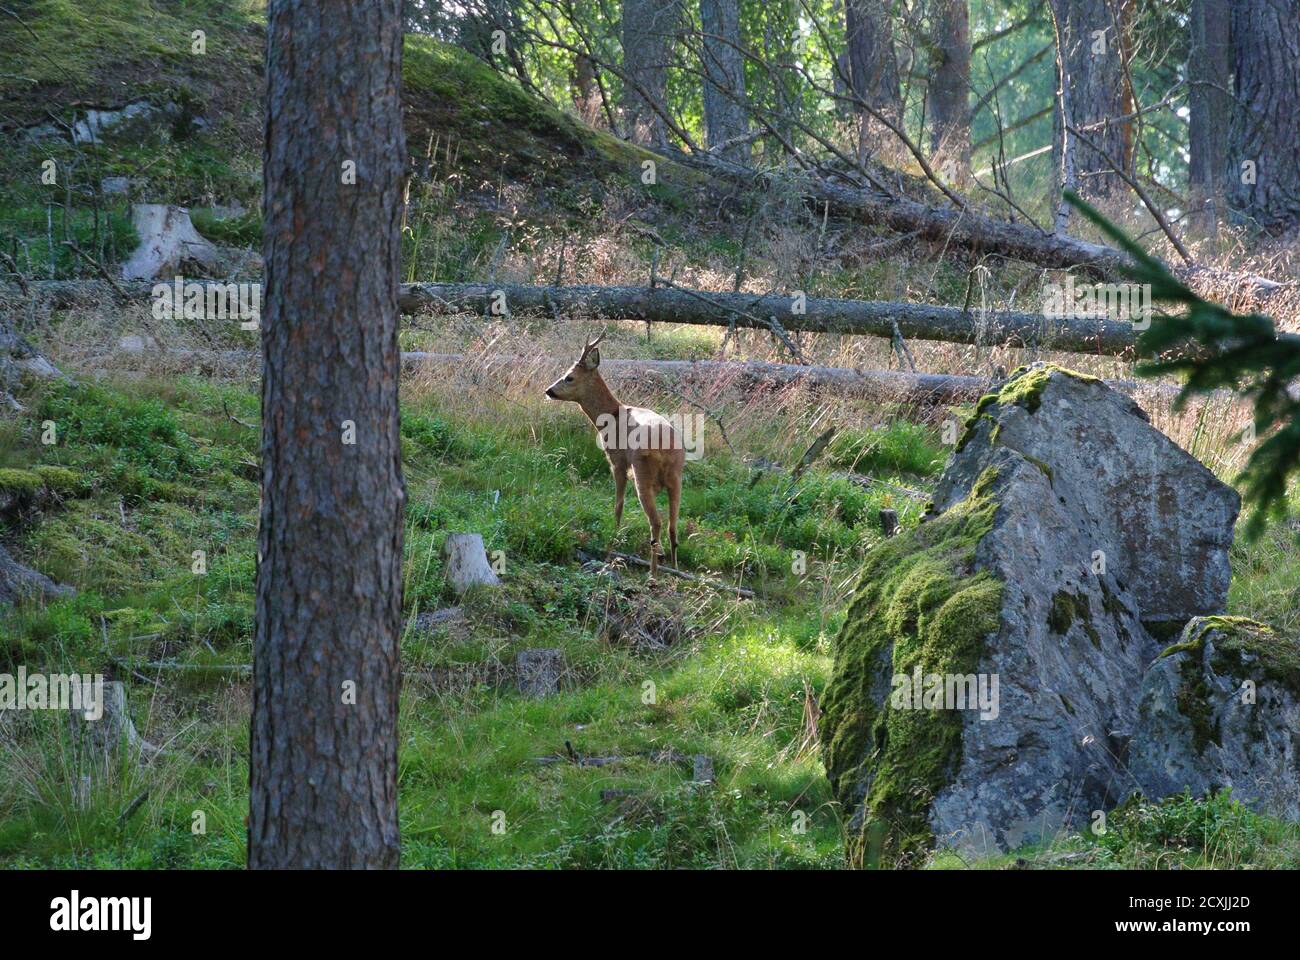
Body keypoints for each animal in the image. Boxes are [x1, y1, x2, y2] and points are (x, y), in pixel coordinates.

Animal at [546, 333, 686, 580]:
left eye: (569, 377)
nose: (548, 390)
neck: (610, 417)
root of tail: (667, 448)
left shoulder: (617, 463)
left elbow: (618, 507)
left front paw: (610, 547)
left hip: (642, 473)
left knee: (656, 521)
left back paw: (652, 573)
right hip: (677, 478)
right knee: (673, 525)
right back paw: (674, 569)